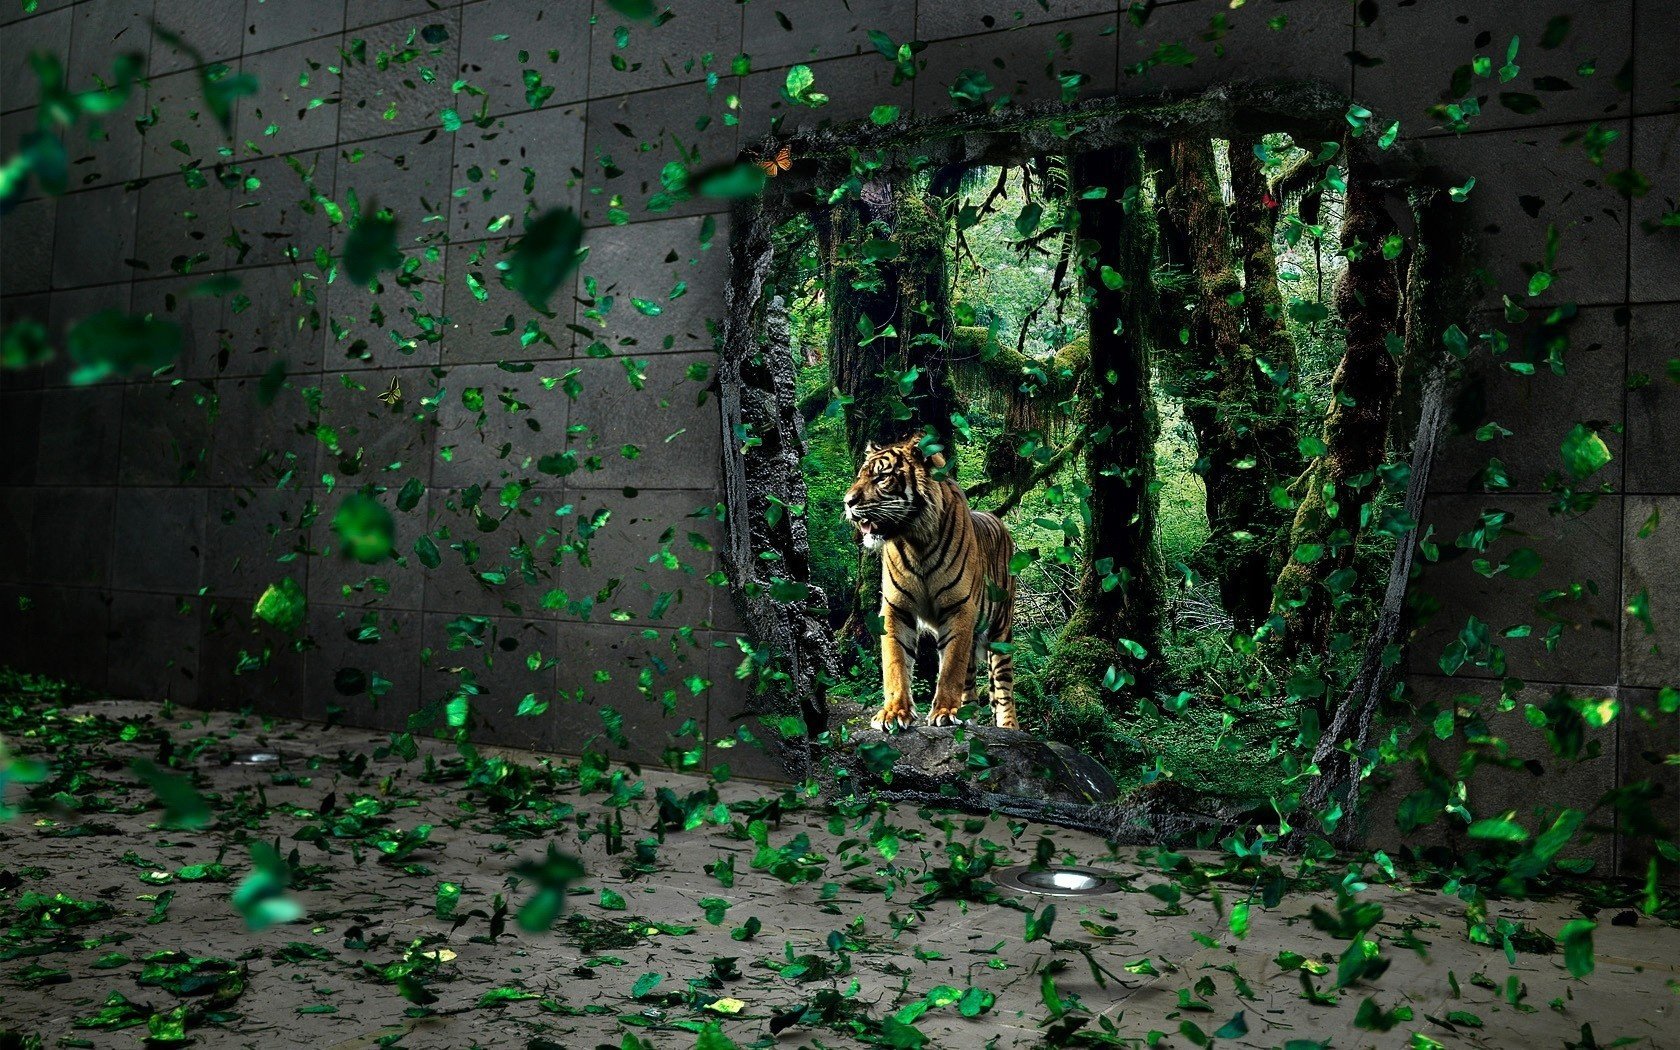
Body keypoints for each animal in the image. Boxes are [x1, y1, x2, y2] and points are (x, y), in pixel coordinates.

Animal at [842, 433, 1019, 732]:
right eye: (860, 476)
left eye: (881, 477)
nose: (847, 502)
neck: (916, 540)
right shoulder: (896, 608)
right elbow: (895, 662)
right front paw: (893, 712)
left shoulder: (959, 608)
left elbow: (950, 668)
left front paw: (945, 711)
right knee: (970, 681)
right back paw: (968, 715)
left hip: (1001, 631)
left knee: (1003, 686)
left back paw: (1007, 727)